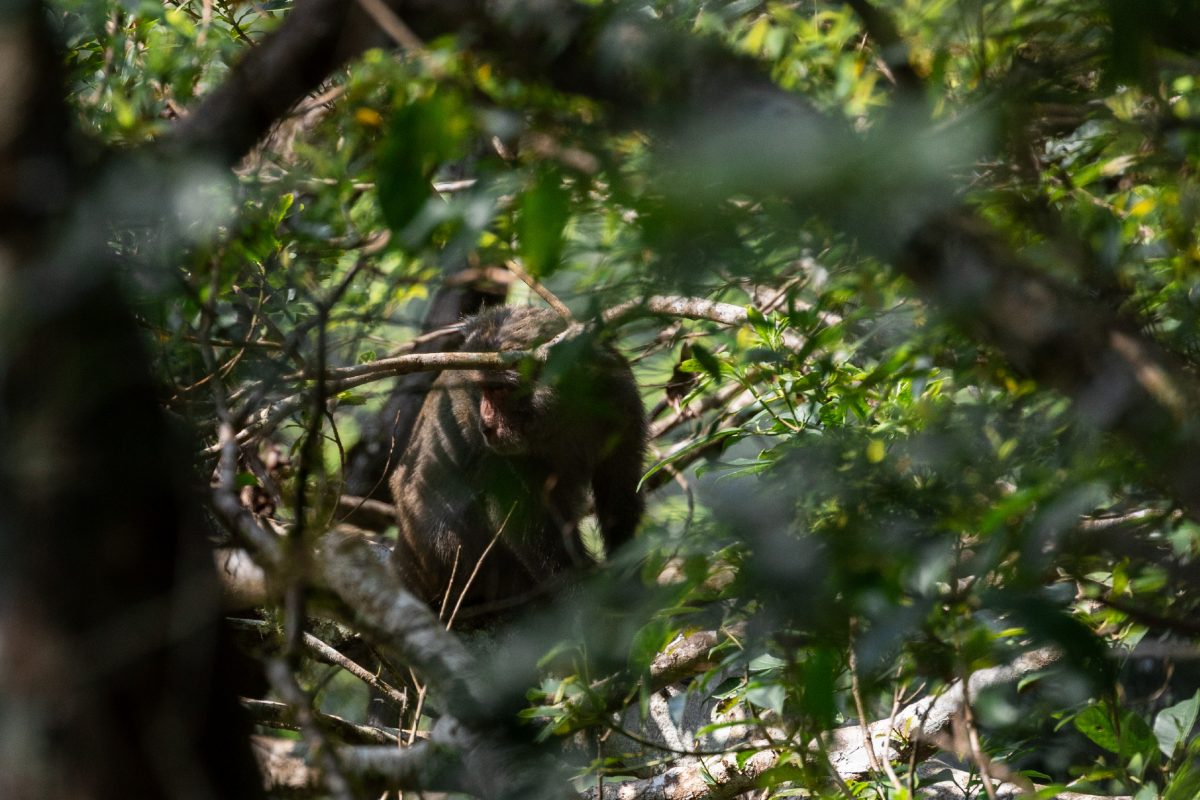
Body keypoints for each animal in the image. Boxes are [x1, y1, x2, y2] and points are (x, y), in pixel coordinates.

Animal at [389, 305, 646, 624]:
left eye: (499, 389)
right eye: (482, 389)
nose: (486, 426)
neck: (563, 410)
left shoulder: (621, 395)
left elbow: (619, 488)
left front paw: (626, 574)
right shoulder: (494, 450)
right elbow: (521, 518)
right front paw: (580, 594)